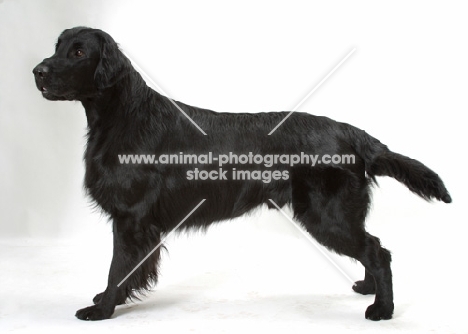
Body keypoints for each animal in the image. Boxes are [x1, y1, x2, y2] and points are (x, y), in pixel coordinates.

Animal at [32, 28, 450, 320]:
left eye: (79, 52)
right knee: (372, 247)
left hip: (327, 215)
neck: (123, 115)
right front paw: (107, 301)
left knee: (378, 251)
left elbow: (117, 269)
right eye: (58, 46)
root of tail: (353, 132)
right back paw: (367, 288)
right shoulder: (134, 222)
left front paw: (102, 309)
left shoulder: (131, 218)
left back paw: (382, 309)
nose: (37, 71)